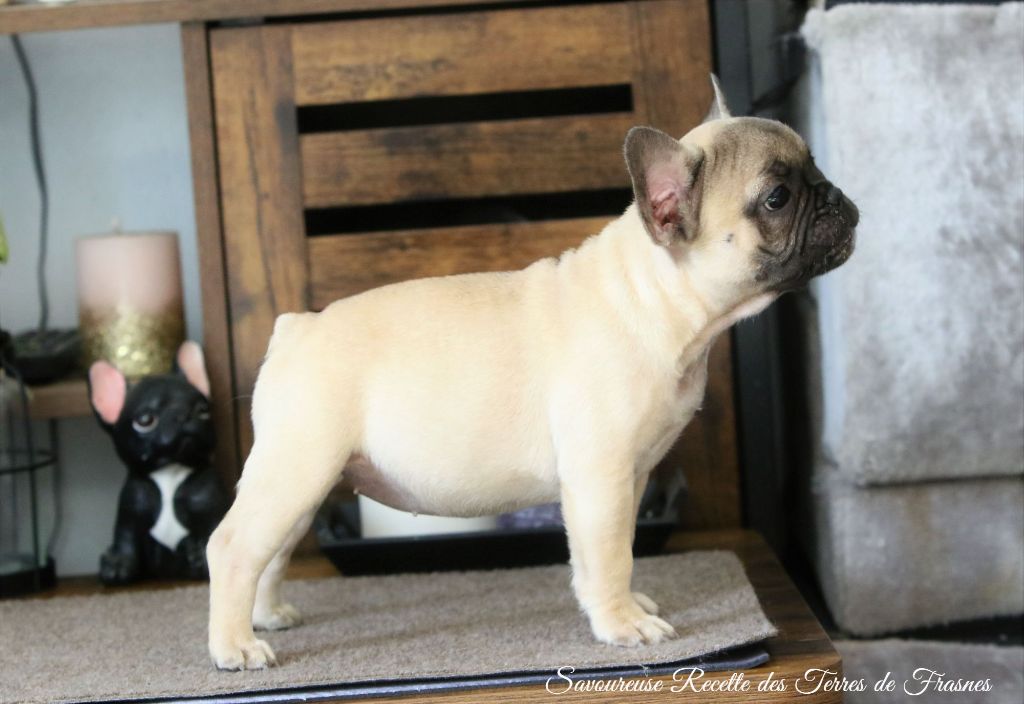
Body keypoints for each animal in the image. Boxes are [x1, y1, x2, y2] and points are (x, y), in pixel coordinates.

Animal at [206, 76, 858, 670]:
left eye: (815, 166)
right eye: (776, 198)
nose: (839, 199)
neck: (654, 295)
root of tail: (296, 328)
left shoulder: (630, 478)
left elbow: (618, 549)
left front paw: (628, 606)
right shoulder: (600, 479)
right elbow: (609, 555)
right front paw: (622, 624)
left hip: (304, 482)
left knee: (271, 552)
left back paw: (266, 616)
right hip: (298, 468)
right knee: (232, 546)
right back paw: (234, 647)